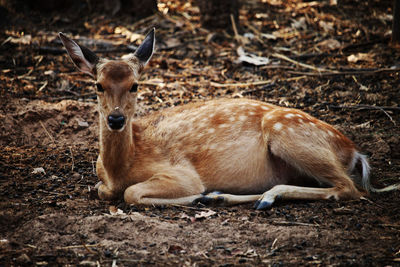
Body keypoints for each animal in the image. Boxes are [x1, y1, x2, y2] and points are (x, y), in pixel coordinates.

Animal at [57, 28, 398, 210]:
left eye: (135, 85)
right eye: (98, 85)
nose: (115, 119)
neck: (121, 166)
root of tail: (352, 151)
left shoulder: (182, 173)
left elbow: (132, 193)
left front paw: (199, 197)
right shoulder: (102, 177)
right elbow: (102, 189)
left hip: (287, 133)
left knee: (350, 188)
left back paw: (249, 197)